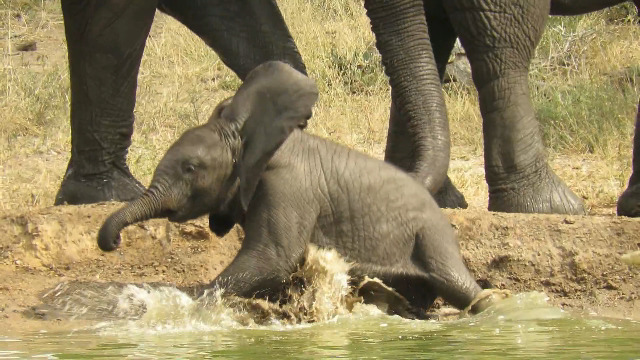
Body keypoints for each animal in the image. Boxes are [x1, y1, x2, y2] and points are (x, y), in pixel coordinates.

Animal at [97, 61, 502, 318]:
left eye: (191, 169)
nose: (113, 243)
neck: (249, 138)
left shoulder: (287, 187)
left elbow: (272, 258)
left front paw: (189, 305)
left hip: (431, 234)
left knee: (458, 286)